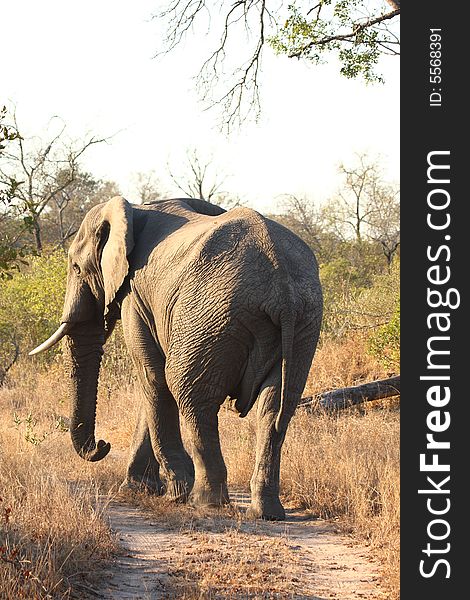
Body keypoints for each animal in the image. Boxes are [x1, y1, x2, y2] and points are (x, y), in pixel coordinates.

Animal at [30, 197, 324, 520]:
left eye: (76, 267)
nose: (103, 445)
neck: (135, 210)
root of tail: (282, 288)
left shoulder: (134, 296)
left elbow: (153, 376)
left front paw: (174, 492)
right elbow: (152, 387)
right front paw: (139, 489)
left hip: (212, 314)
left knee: (191, 394)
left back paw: (204, 502)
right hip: (304, 324)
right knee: (275, 407)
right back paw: (265, 512)